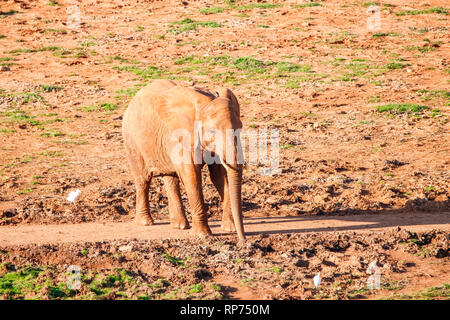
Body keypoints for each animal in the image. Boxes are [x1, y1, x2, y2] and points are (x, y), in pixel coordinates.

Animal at [121, 79, 244, 240]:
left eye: (240, 128)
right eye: (211, 132)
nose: (243, 240)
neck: (205, 103)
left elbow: (219, 175)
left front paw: (229, 228)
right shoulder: (182, 135)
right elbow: (191, 175)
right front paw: (202, 235)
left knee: (171, 178)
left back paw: (179, 225)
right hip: (132, 139)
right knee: (143, 179)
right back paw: (145, 222)